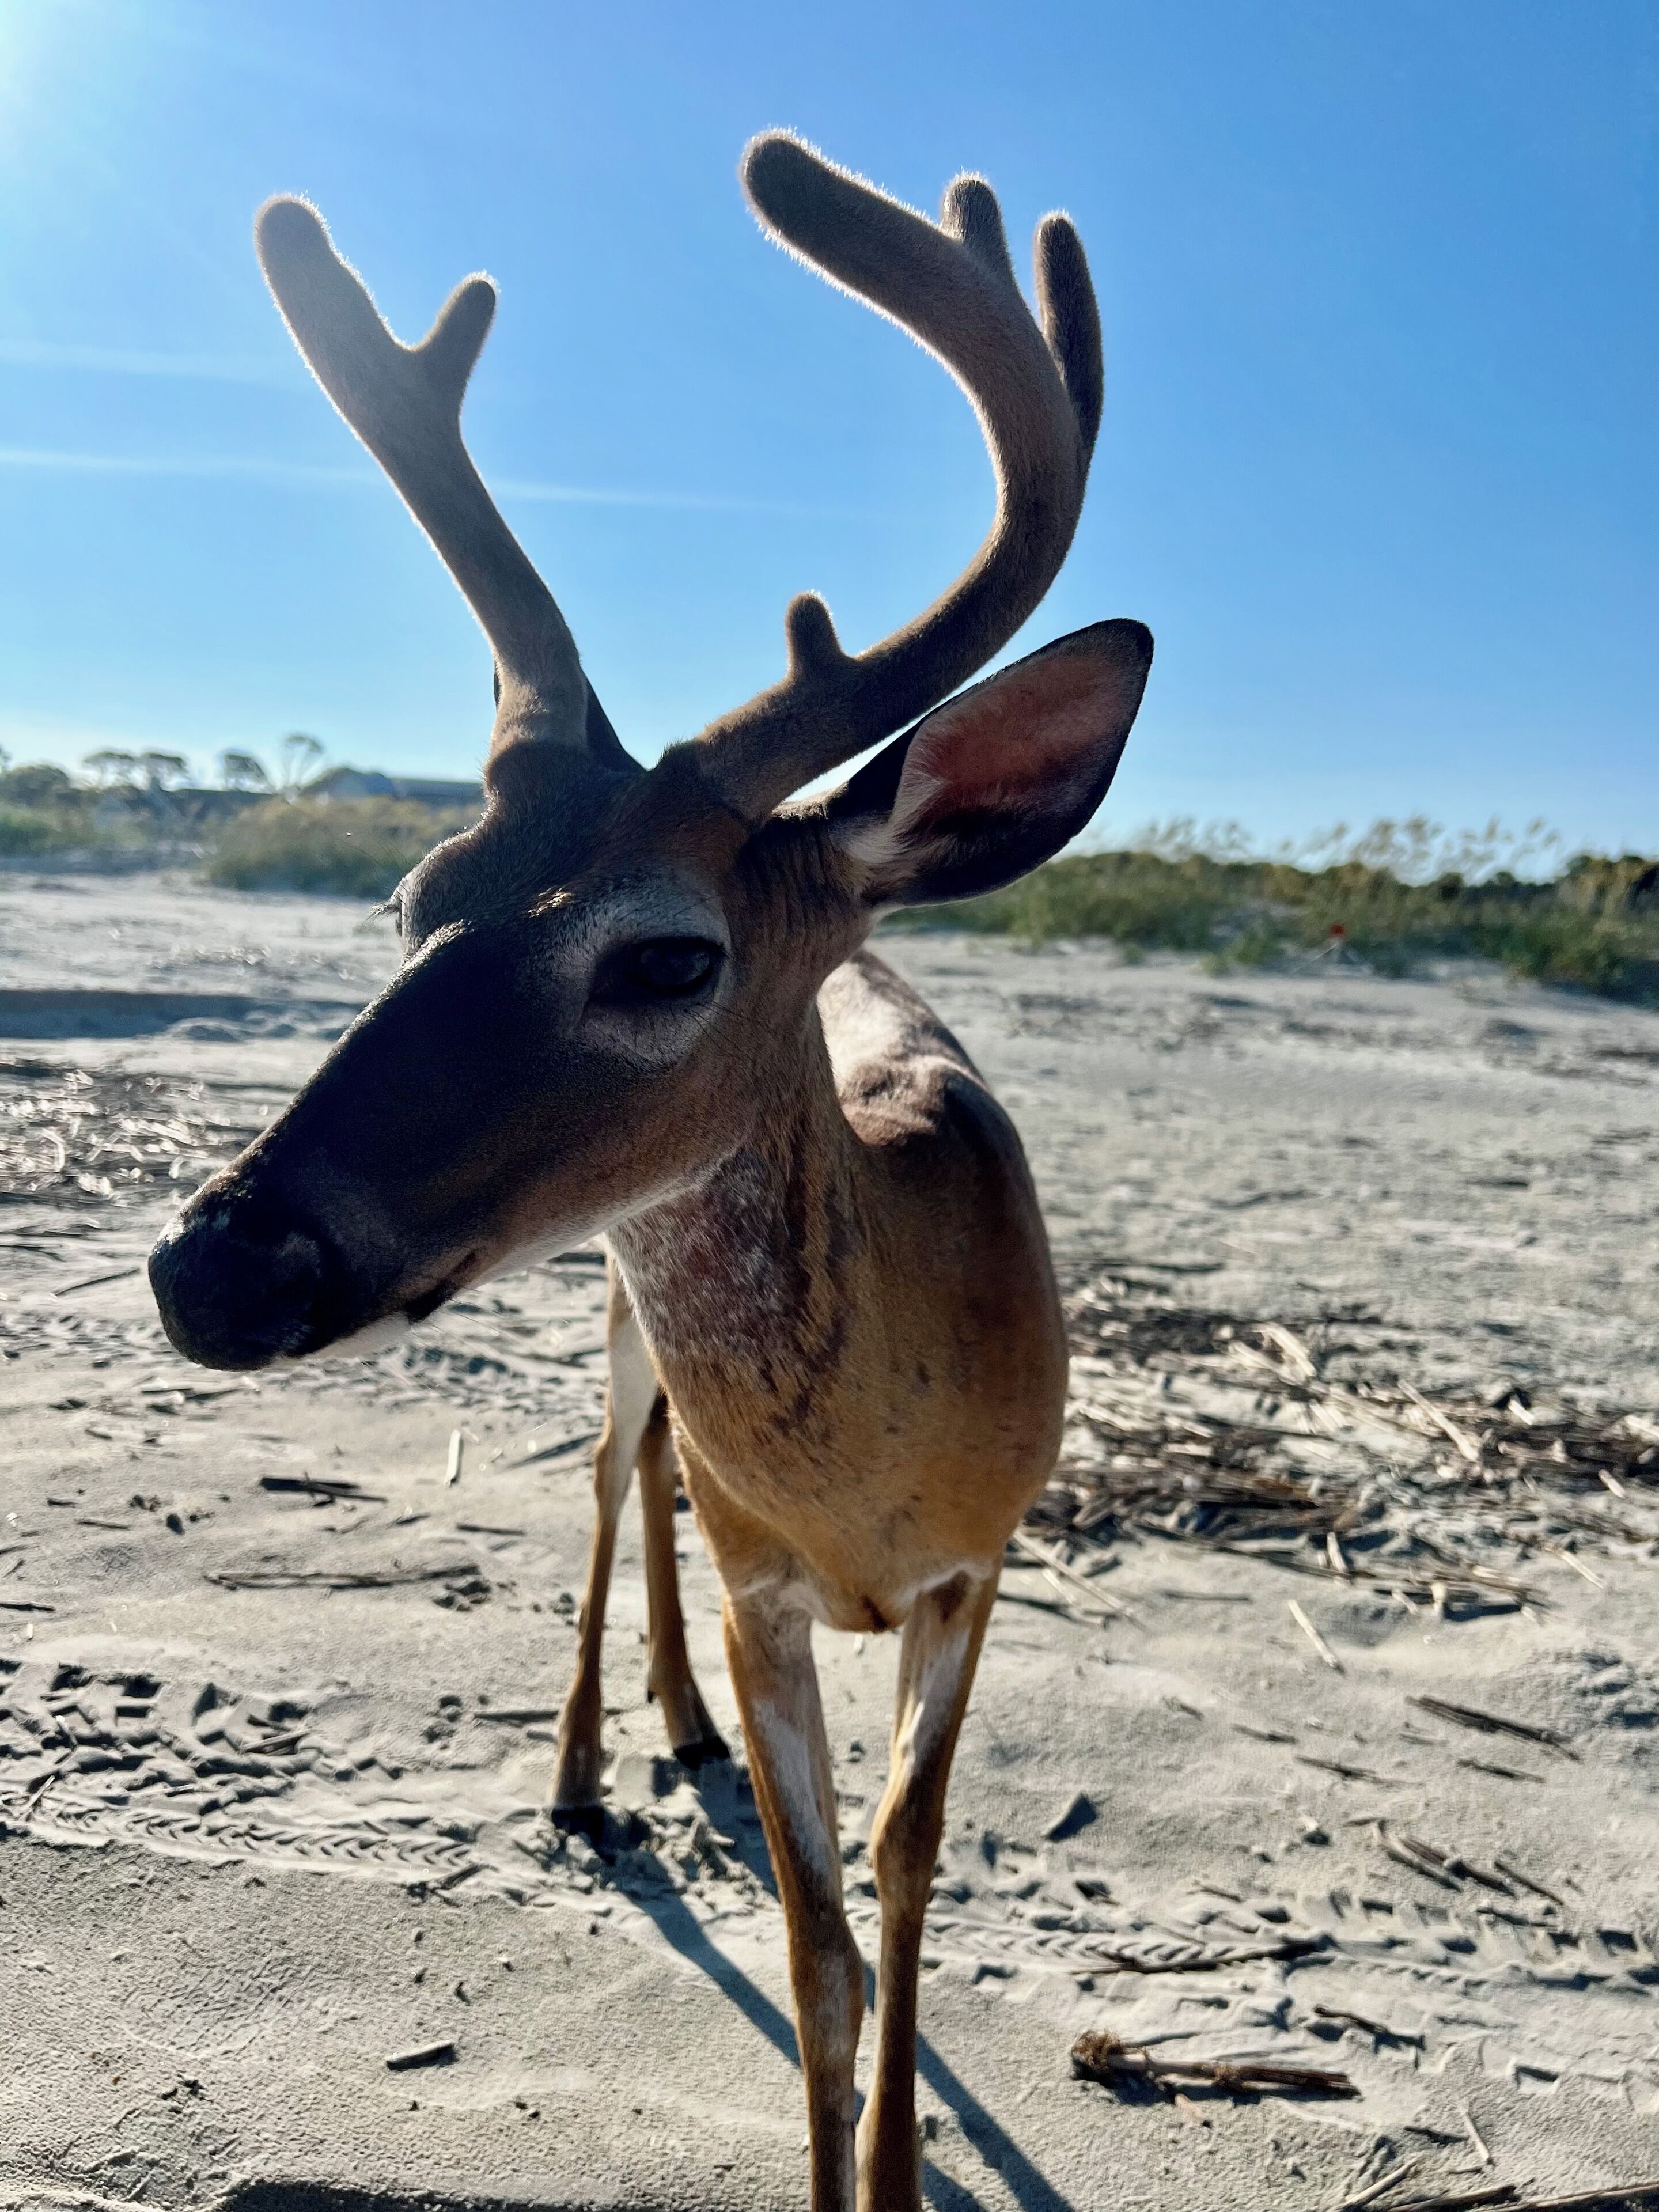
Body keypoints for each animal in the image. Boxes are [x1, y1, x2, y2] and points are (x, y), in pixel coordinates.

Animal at [148, 133, 1152, 2212]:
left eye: (669, 956)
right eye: (415, 901)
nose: (214, 1265)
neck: (866, 1483)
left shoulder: (990, 1555)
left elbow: (907, 1879)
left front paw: (900, 2151)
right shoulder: (780, 1583)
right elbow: (816, 1944)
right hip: (612, 1319)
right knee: (624, 1481)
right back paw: (592, 1764)